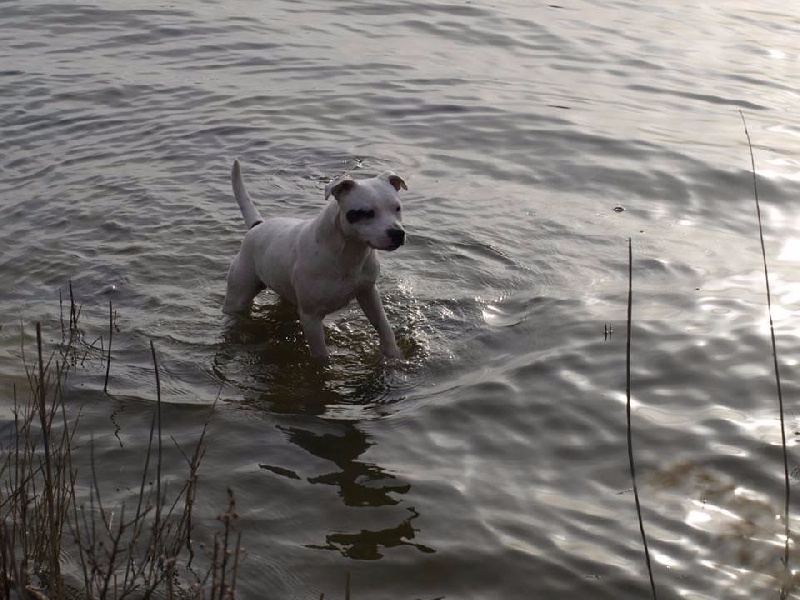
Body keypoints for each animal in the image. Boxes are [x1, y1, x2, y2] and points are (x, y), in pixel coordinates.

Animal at [222, 159, 406, 364]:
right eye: (367, 213)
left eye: (397, 208)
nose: (397, 233)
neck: (347, 253)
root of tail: (257, 226)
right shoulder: (311, 318)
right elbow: (320, 356)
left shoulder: (368, 292)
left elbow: (384, 325)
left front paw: (393, 355)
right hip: (238, 295)